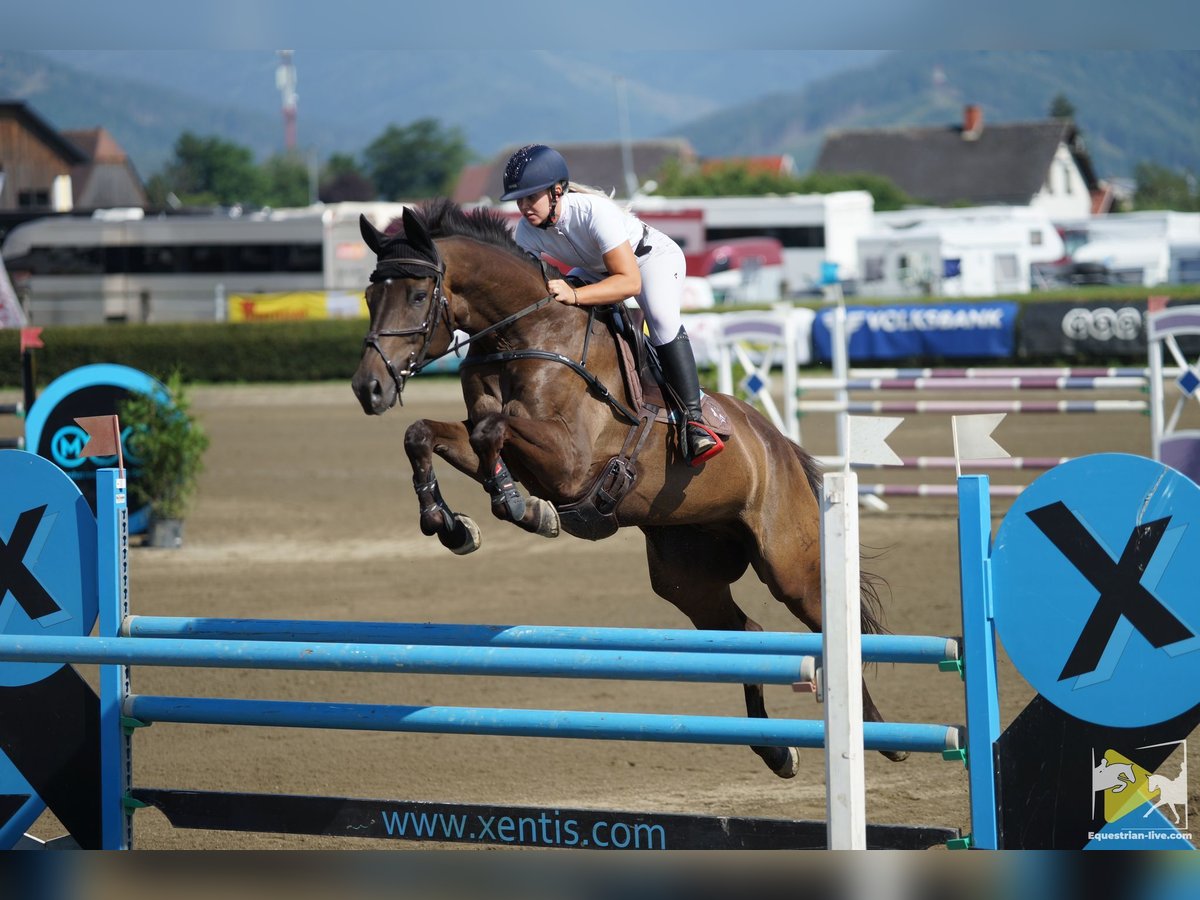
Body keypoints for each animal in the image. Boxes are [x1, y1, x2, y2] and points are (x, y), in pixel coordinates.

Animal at [348, 200, 902, 777]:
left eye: (416, 295)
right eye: (369, 297)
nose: (369, 388)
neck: (523, 336)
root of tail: (781, 446)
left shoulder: (569, 461)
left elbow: (491, 432)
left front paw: (523, 508)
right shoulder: (504, 445)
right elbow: (428, 434)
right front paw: (450, 524)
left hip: (790, 567)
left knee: (826, 625)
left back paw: (883, 736)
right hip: (686, 576)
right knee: (743, 633)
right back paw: (775, 750)